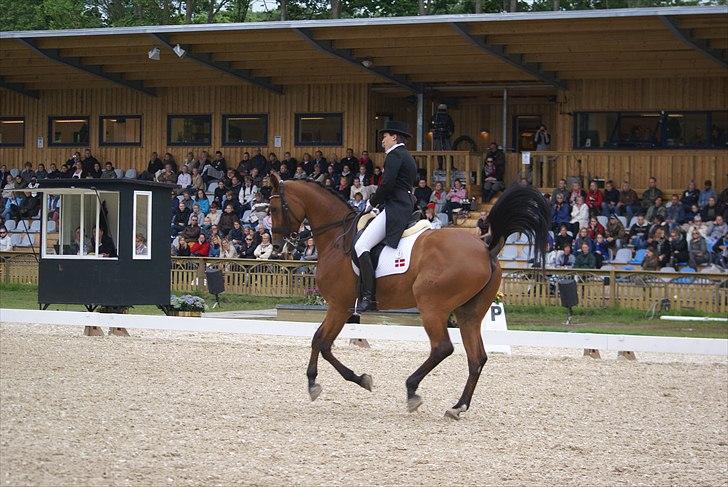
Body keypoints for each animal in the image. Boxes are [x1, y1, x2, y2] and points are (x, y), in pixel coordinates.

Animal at [270, 174, 548, 420]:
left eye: (273, 208)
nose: (276, 246)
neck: (338, 236)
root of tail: (485, 248)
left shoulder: (340, 306)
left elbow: (322, 342)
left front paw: (330, 382)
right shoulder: (341, 308)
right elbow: (320, 340)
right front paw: (331, 381)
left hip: (432, 306)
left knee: (442, 348)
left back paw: (412, 389)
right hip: (468, 312)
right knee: (476, 357)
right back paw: (457, 407)